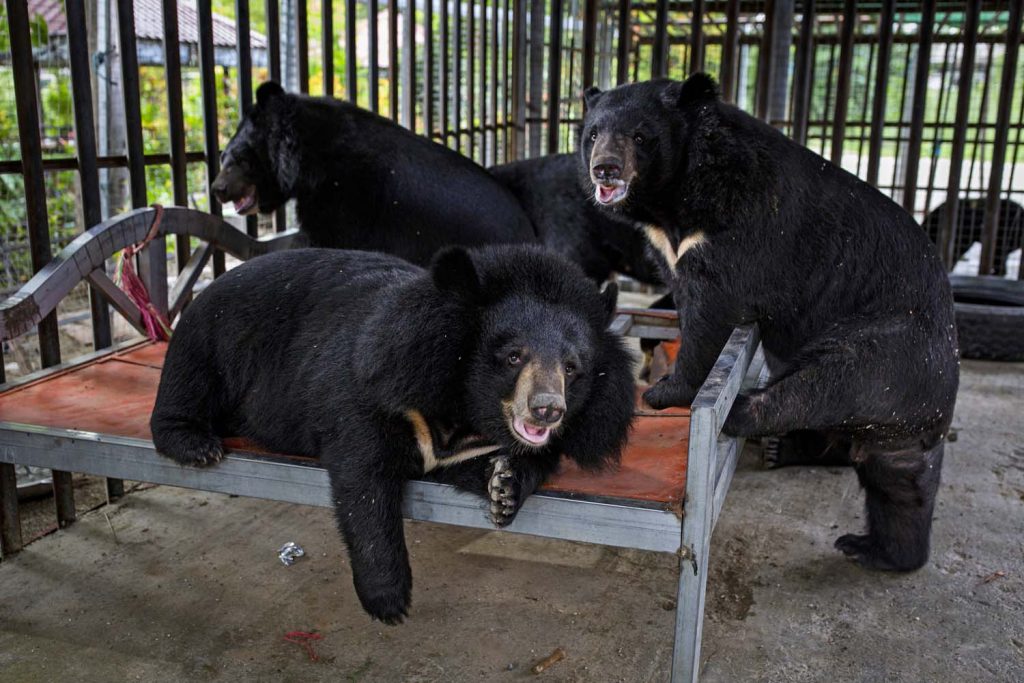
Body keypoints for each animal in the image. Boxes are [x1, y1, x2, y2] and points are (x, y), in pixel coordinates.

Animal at [148, 245, 634, 626]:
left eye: (572, 367)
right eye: (514, 356)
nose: (547, 409)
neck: (464, 406)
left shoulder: (462, 444)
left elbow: (488, 465)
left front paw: (505, 488)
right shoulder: (370, 391)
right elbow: (365, 481)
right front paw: (389, 600)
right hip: (216, 333)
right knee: (190, 378)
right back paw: (197, 444)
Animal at [585, 74, 958, 573]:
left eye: (641, 137)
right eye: (592, 134)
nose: (604, 169)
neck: (673, 202)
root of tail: (936, 409)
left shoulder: (737, 228)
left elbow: (711, 314)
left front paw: (665, 391)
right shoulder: (670, 243)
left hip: (888, 352)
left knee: (822, 386)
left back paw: (742, 411)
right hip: (901, 429)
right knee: (900, 492)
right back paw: (875, 550)